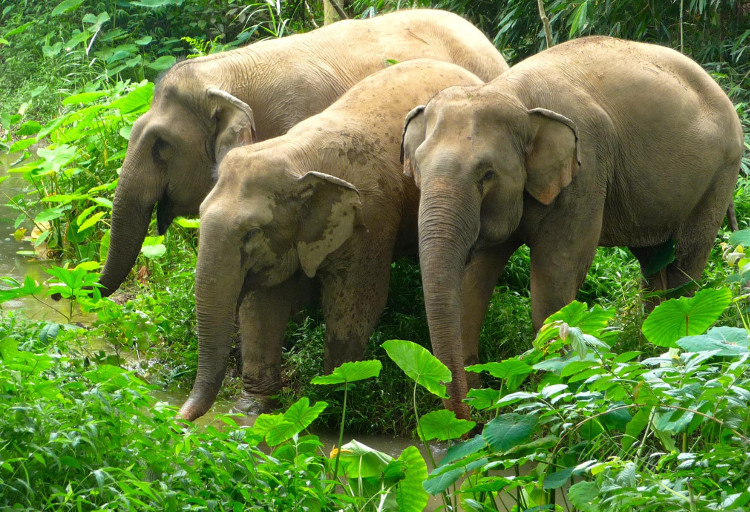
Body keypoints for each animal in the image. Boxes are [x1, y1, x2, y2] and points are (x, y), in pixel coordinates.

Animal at [178, 59, 484, 420]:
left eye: (251, 232)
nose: (178, 419)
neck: (296, 154)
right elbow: (263, 305)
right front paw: (251, 410)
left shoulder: (370, 215)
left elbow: (356, 300)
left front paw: (333, 395)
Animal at [402, 37, 744, 420]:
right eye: (417, 168)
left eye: (487, 174)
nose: (465, 418)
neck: (510, 93)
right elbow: (474, 278)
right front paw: (478, 403)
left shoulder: (586, 170)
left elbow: (558, 275)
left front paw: (556, 386)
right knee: (654, 260)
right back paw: (650, 351)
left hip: (720, 173)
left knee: (685, 263)